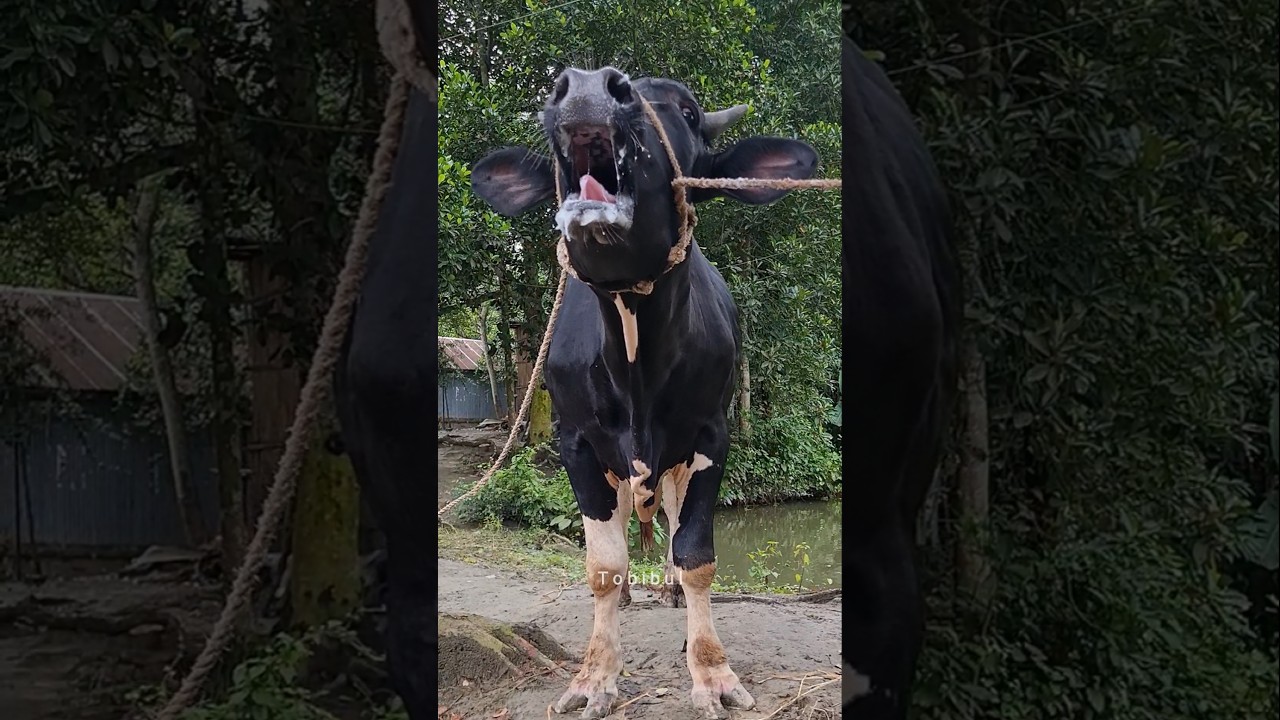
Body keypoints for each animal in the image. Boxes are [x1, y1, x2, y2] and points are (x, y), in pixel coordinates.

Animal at [470, 66, 819, 719]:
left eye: (687, 110)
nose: (587, 85)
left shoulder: (710, 435)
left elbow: (697, 554)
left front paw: (711, 672)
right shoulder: (576, 442)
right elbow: (603, 565)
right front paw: (593, 677)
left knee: (675, 529)